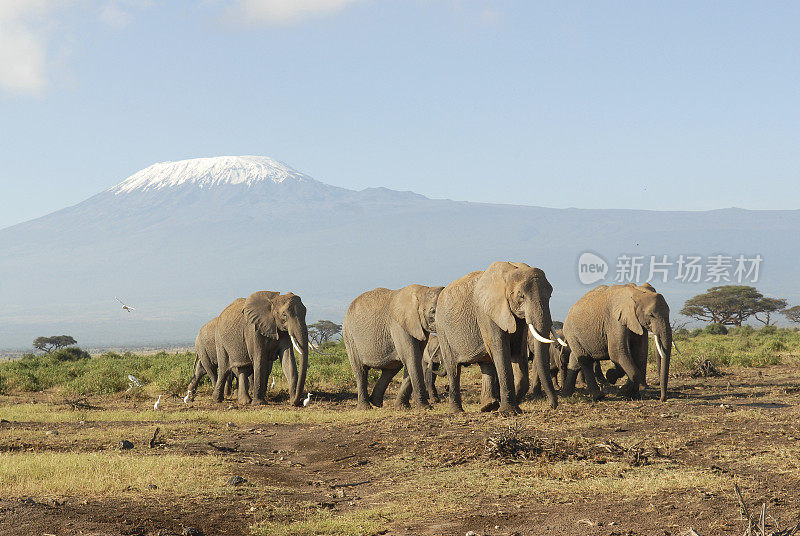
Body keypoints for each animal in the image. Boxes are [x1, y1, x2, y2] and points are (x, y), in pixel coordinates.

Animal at [434, 262, 560, 412]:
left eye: (550, 296)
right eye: (521, 296)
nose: (552, 406)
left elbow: (518, 351)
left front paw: (513, 404)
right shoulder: (487, 313)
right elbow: (501, 351)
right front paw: (509, 412)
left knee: (486, 364)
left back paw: (488, 406)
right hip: (442, 329)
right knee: (453, 369)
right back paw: (457, 411)